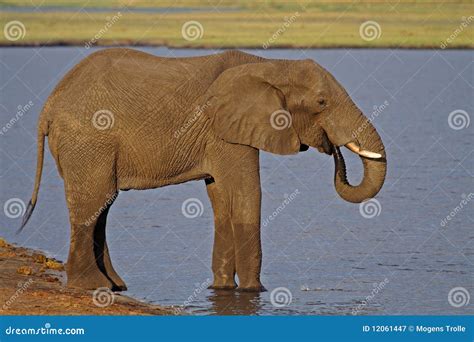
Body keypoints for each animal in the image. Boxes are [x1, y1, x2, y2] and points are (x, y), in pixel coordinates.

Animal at [20, 48, 386, 292]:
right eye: (322, 103)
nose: (333, 149)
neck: (270, 65)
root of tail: (49, 104)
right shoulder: (226, 131)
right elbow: (247, 196)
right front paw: (254, 291)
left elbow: (222, 198)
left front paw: (222, 288)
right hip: (88, 140)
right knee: (94, 201)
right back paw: (93, 286)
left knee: (102, 205)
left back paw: (116, 285)